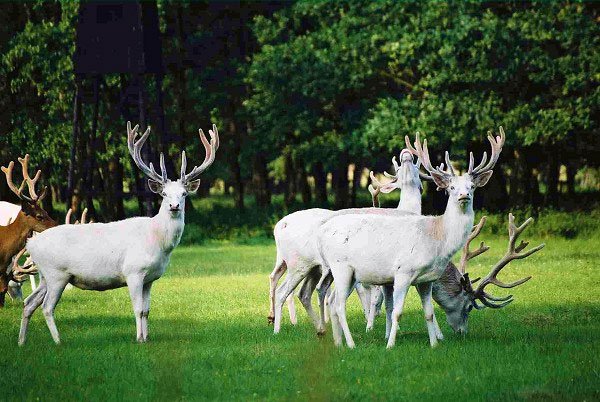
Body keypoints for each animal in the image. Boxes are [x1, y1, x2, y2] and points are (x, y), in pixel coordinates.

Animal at [18, 121, 220, 344]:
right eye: (164, 193)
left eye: (184, 194)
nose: (174, 206)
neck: (158, 242)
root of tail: (31, 244)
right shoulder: (133, 271)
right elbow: (138, 309)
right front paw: (139, 339)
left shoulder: (150, 278)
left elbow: (147, 310)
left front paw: (147, 338)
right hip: (56, 274)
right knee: (46, 307)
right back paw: (58, 341)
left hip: (45, 275)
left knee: (29, 302)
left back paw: (21, 341)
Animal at [316, 127, 508, 348]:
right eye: (451, 187)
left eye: (472, 186)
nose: (463, 196)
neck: (437, 240)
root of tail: (320, 233)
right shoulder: (403, 272)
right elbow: (397, 312)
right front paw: (390, 345)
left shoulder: (426, 280)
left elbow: (429, 313)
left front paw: (434, 345)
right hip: (342, 268)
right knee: (339, 305)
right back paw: (351, 344)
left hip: (343, 272)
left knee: (331, 301)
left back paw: (338, 343)